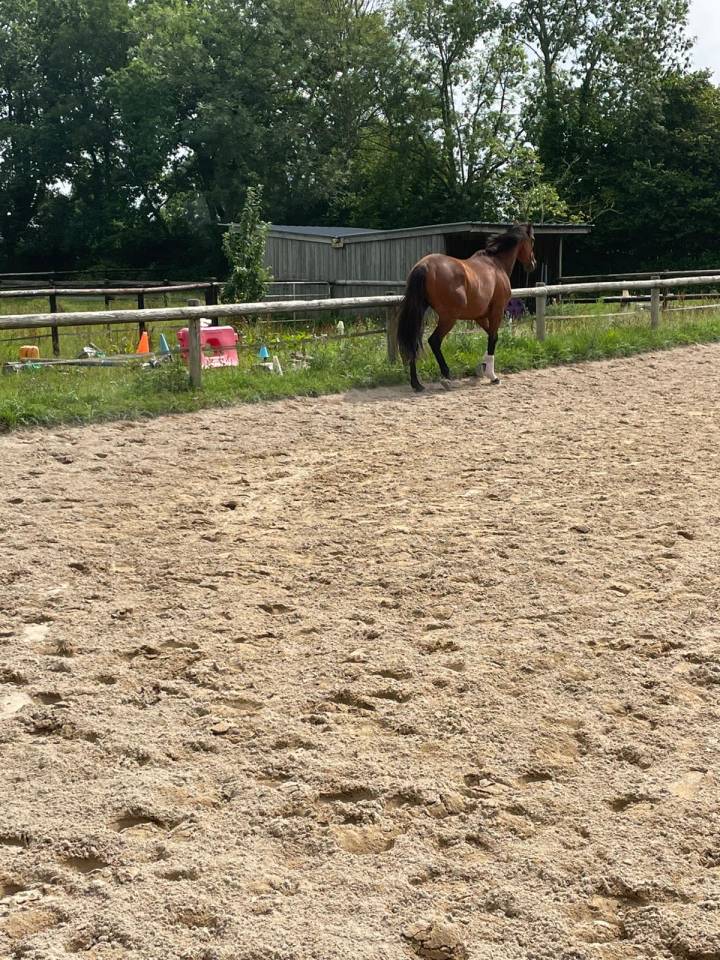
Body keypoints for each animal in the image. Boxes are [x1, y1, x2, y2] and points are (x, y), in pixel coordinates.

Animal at [395, 223, 537, 392]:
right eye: (532, 240)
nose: (533, 263)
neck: (496, 264)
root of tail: (424, 266)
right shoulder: (497, 311)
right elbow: (493, 337)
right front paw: (492, 376)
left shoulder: (480, 316)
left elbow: (492, 336)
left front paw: (482, 368)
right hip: (449, 318)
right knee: (434, 341)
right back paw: (447, 377)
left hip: (420, 314)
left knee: (414, 342)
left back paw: (417, 383)